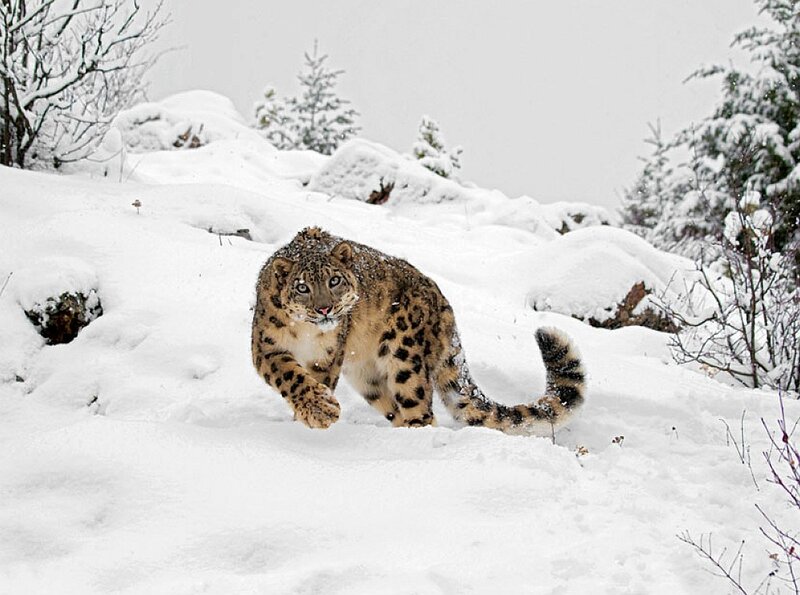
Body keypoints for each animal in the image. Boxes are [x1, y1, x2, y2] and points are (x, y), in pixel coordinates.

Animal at [251, 227, 586, 434]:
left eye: (334, 281)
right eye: (302, 287)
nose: (324, 309)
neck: (306, 335)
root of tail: (444, 304)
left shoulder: (328, 356)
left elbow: (313, 380)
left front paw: (317, 415)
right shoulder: (266, 346)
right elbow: (292, 376)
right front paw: (317, 413)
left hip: (405, 357)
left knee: (420, 408)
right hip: (368, 377)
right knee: (396, 408)